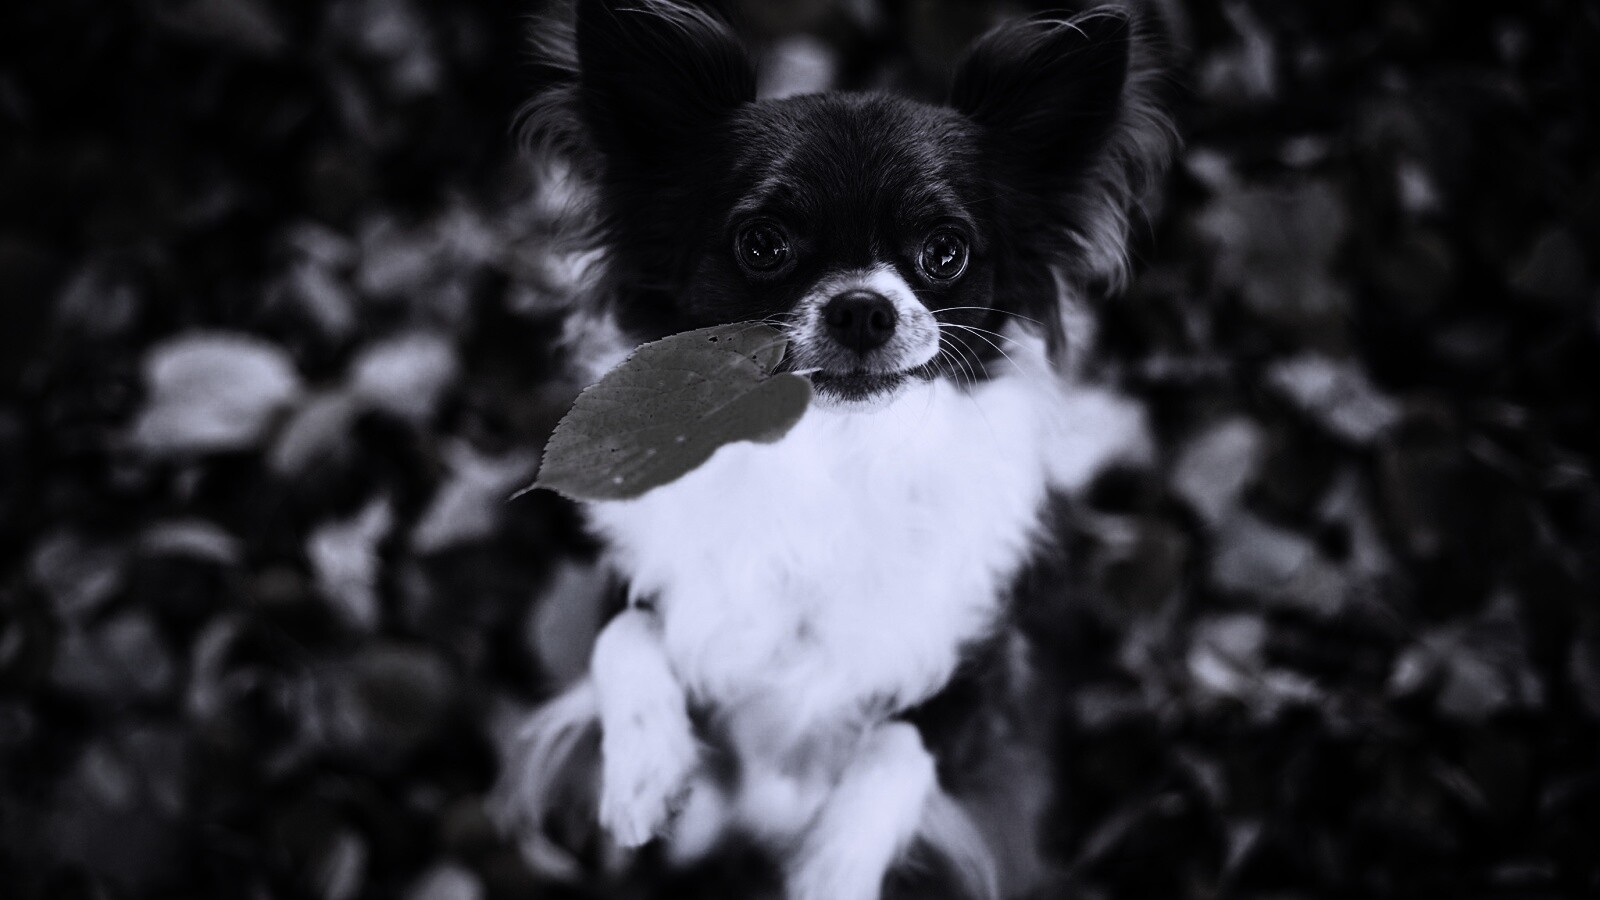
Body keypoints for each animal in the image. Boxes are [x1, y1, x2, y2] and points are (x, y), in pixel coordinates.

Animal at [499, 2, 1173, 897]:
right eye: (762, 245)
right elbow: (624, 633)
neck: (831, 453)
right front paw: (644, 772)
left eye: (945, 252)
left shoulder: (982, 669)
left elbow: (902, 742)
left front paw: (834, 864)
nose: (862, 307)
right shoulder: (646, 576)